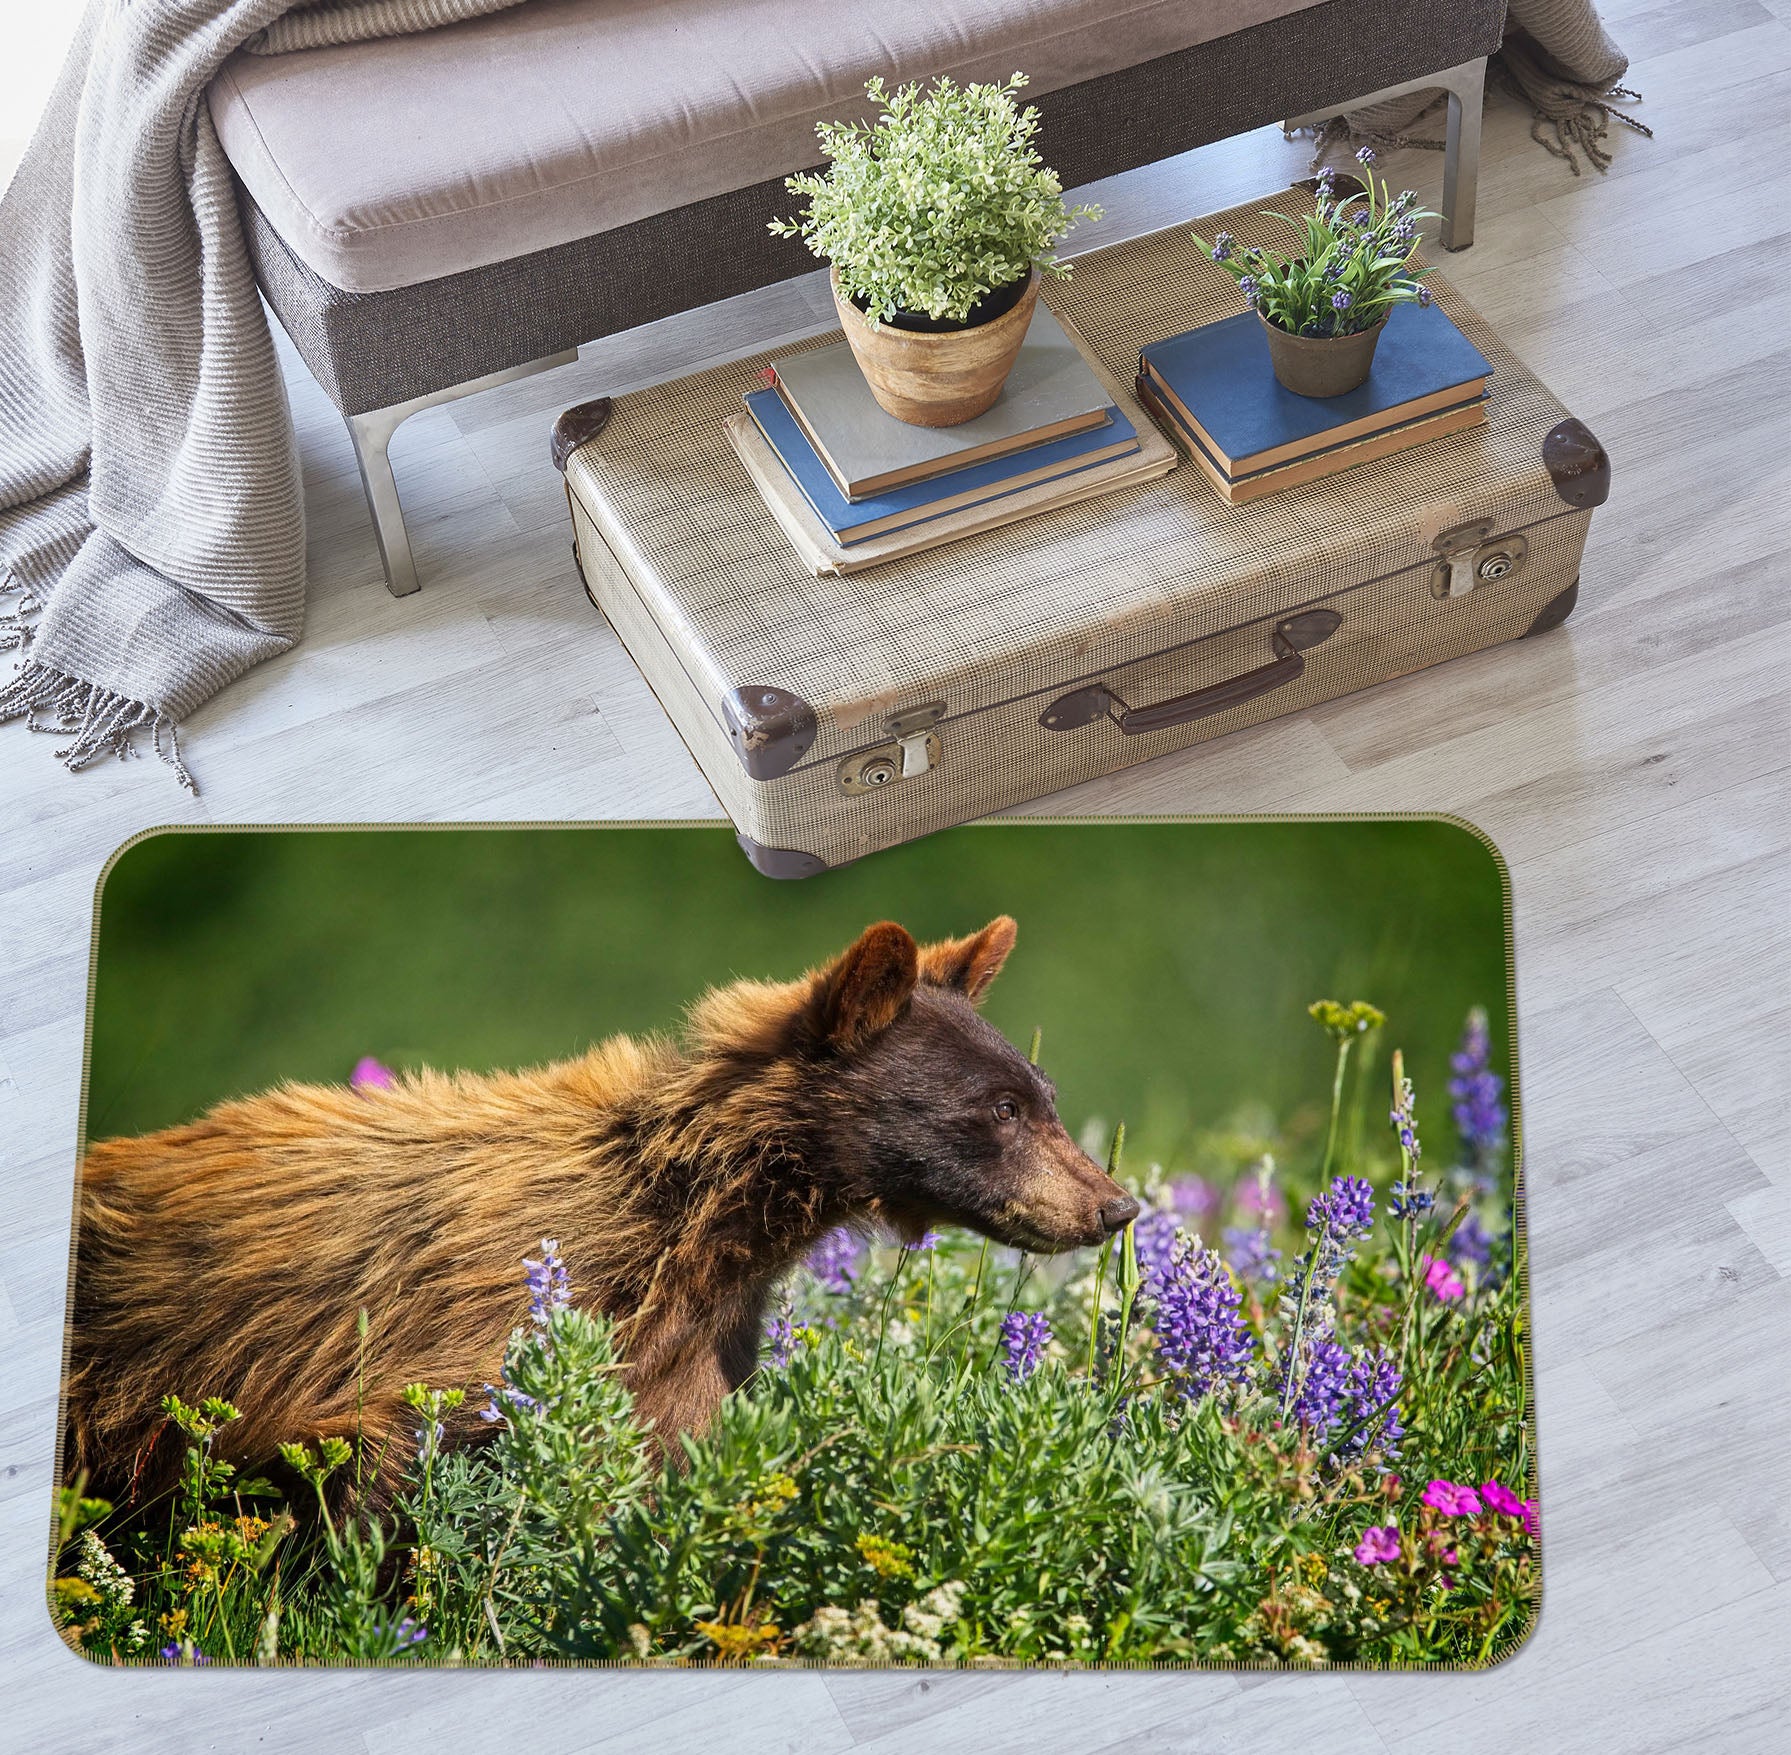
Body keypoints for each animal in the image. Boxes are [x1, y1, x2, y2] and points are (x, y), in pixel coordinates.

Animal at [65, 915, 1137, 1502]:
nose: (1116, 1205)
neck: (694, 1224)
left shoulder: (692, 1354)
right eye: (1000, 1108)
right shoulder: (455, 1341)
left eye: (1042, 1093)